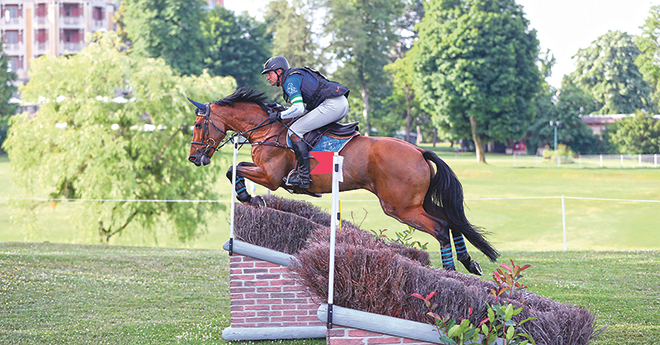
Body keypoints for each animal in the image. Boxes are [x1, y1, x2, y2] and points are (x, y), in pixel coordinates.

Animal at [186, 86, 496, 274]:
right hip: (416, 203)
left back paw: (451, 272)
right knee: (451, 220)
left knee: (441, 227)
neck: (268, 129)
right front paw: (251, 198)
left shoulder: (271, 176)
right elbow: (235, 168)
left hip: (400, 207)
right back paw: (470, 264)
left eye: (199, 125)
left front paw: (250, 198)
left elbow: (233, 169)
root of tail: (419, 150)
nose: (194, 158)